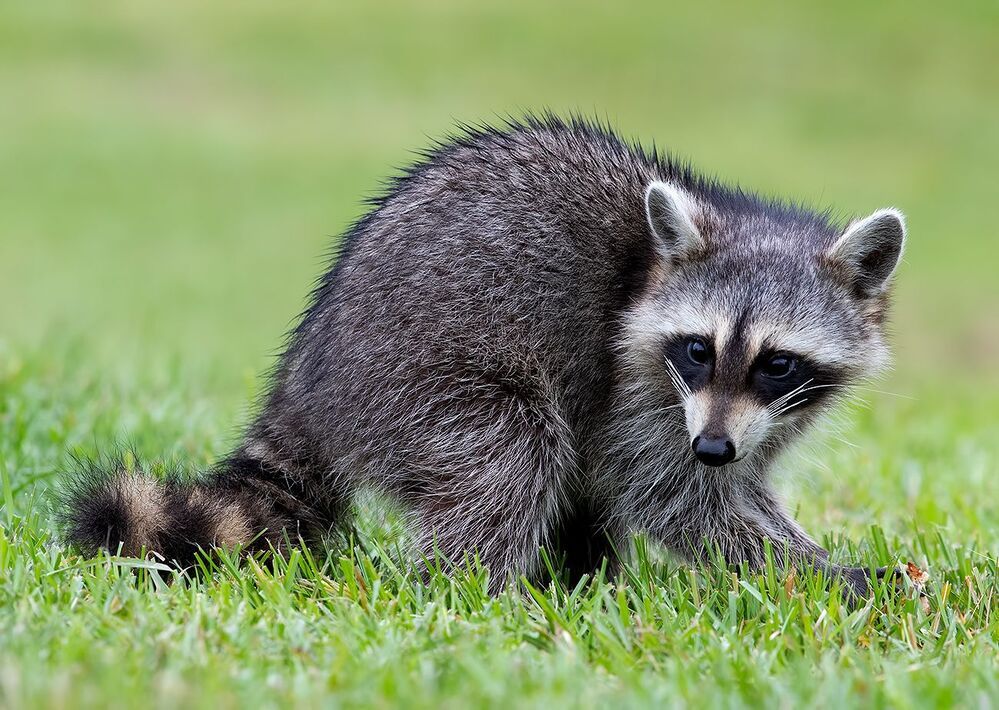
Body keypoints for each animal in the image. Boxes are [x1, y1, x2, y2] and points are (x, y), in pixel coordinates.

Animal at [59, 115, 906, 597]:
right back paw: (482, 594)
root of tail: (306, 375)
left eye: (777, 363)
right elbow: (671, 494)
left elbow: (683, 482)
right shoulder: (639, 384)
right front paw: (826, 575)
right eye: (697, 349)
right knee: (512, 453)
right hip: (417, 382)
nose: (714, 447)